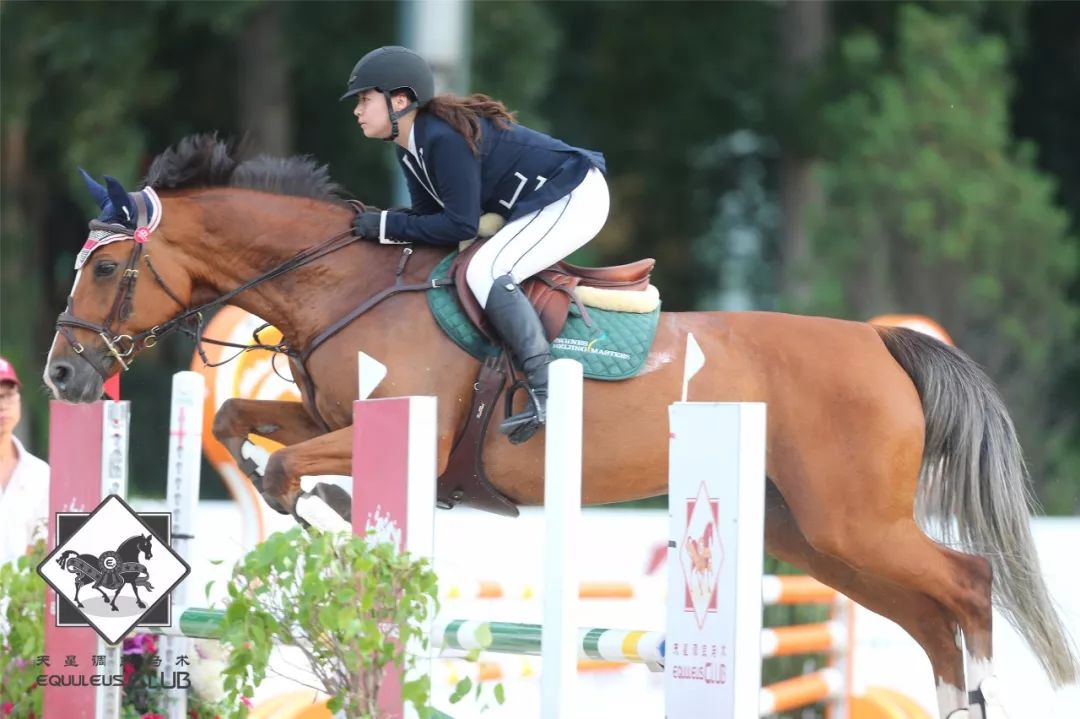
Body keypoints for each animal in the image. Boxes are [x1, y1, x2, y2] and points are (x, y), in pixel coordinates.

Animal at [44, 137, 1080, 712]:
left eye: (108, 269)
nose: (61, 371)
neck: (342, 286)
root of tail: (881, 341)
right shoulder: (320, 408)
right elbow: (244, 417)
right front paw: (315, 495)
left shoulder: (406, 425)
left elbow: (292, 457)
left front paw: (318, 494)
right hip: (814, 535)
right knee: (930, 614)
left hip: (854, 522)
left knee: (968, 584)